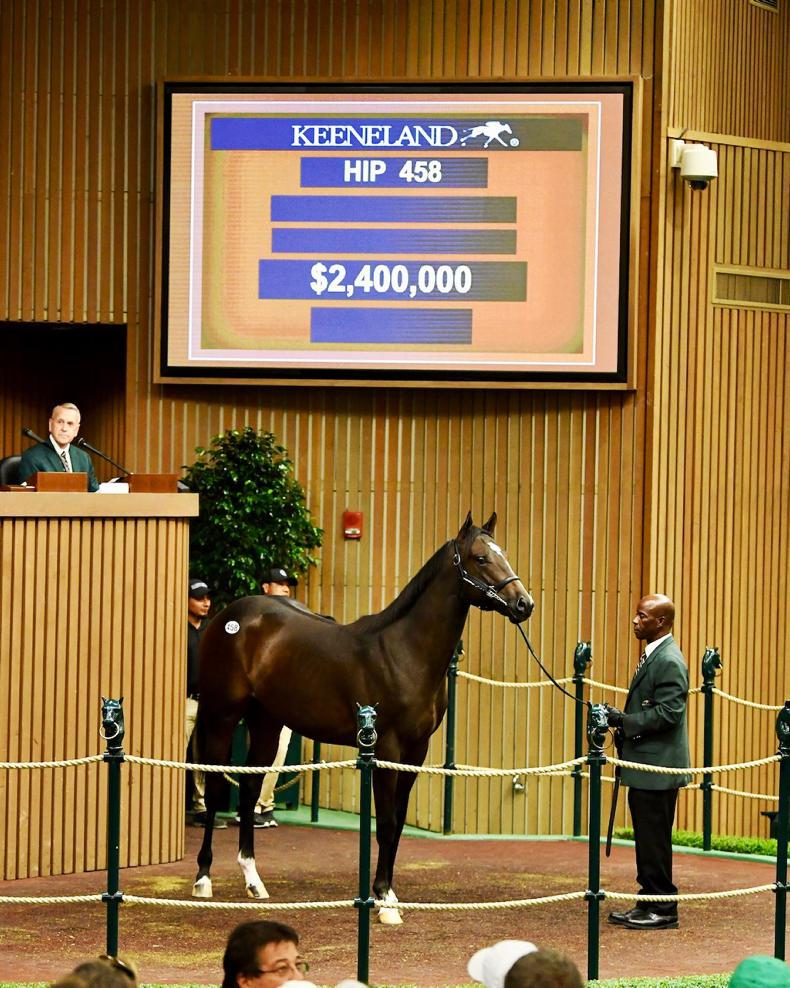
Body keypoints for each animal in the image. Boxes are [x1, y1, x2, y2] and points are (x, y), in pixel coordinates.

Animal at [192, 512, 534, 922]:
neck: (404, 652)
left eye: (504, 554)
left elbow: (398, 821)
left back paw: (253, 880)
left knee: (248, 787)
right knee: (214, 788)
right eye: (480, 558)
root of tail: (228, 617)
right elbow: (385, 823)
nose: (524, 604)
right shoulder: (386, 748)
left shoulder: (416, 751)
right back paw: (203, 878)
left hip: (266, 724)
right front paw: (383, 901)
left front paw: (390, 895)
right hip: (221, 716)